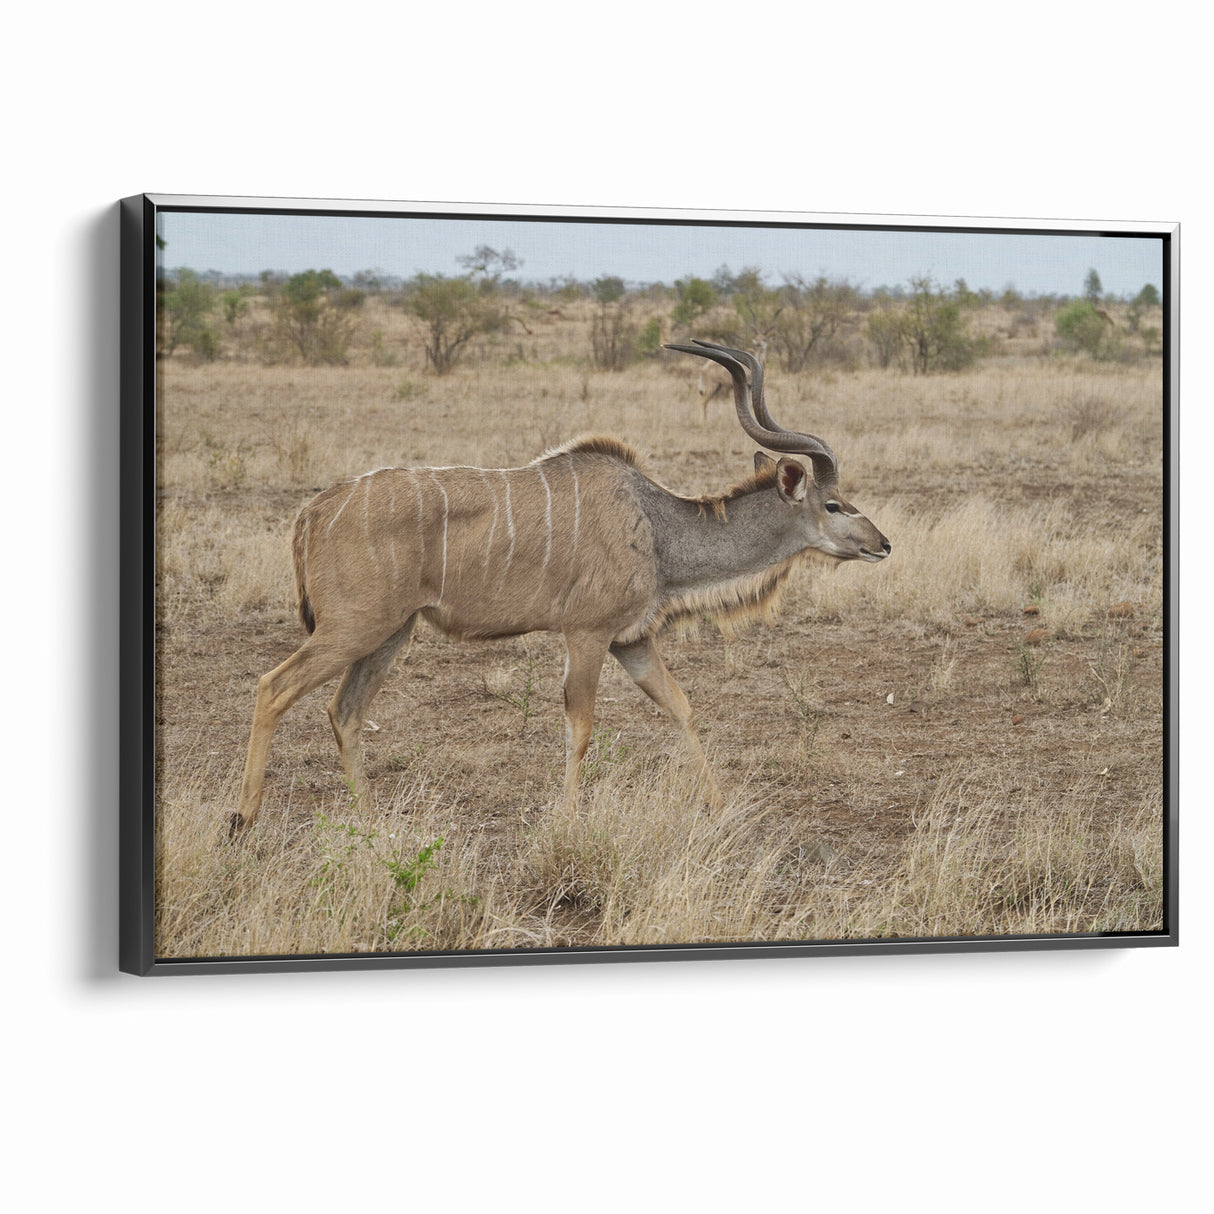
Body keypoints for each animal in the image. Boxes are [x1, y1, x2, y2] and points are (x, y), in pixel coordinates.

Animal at [233, 341, 890, 833]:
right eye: (834, 504)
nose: (882, 544)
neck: (656, 526)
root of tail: (314, 510)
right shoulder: (587, 634)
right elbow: (581, 726)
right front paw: (570, 820)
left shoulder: (632, 641)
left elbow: (681, 707)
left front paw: (721, 807)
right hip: (354, 627)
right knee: (274, 686)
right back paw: (243, 821)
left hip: (391, 632)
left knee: (343, 711)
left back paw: (371, 826)